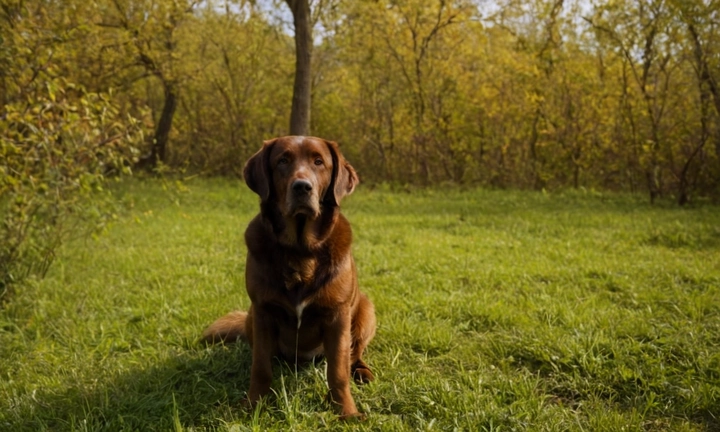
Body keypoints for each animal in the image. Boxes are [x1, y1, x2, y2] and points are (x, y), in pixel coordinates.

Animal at [200, 135, 374, 418]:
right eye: (282, 161)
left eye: (318, 162)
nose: (302, 187)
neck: (300, 249)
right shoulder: (262, 311)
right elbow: (260, 367)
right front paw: (253, 404)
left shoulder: (338, 316)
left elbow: (338, 372)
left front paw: (346, 411)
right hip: (250, 317)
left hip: (366, 312)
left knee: (353, 355)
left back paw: (362, 372)